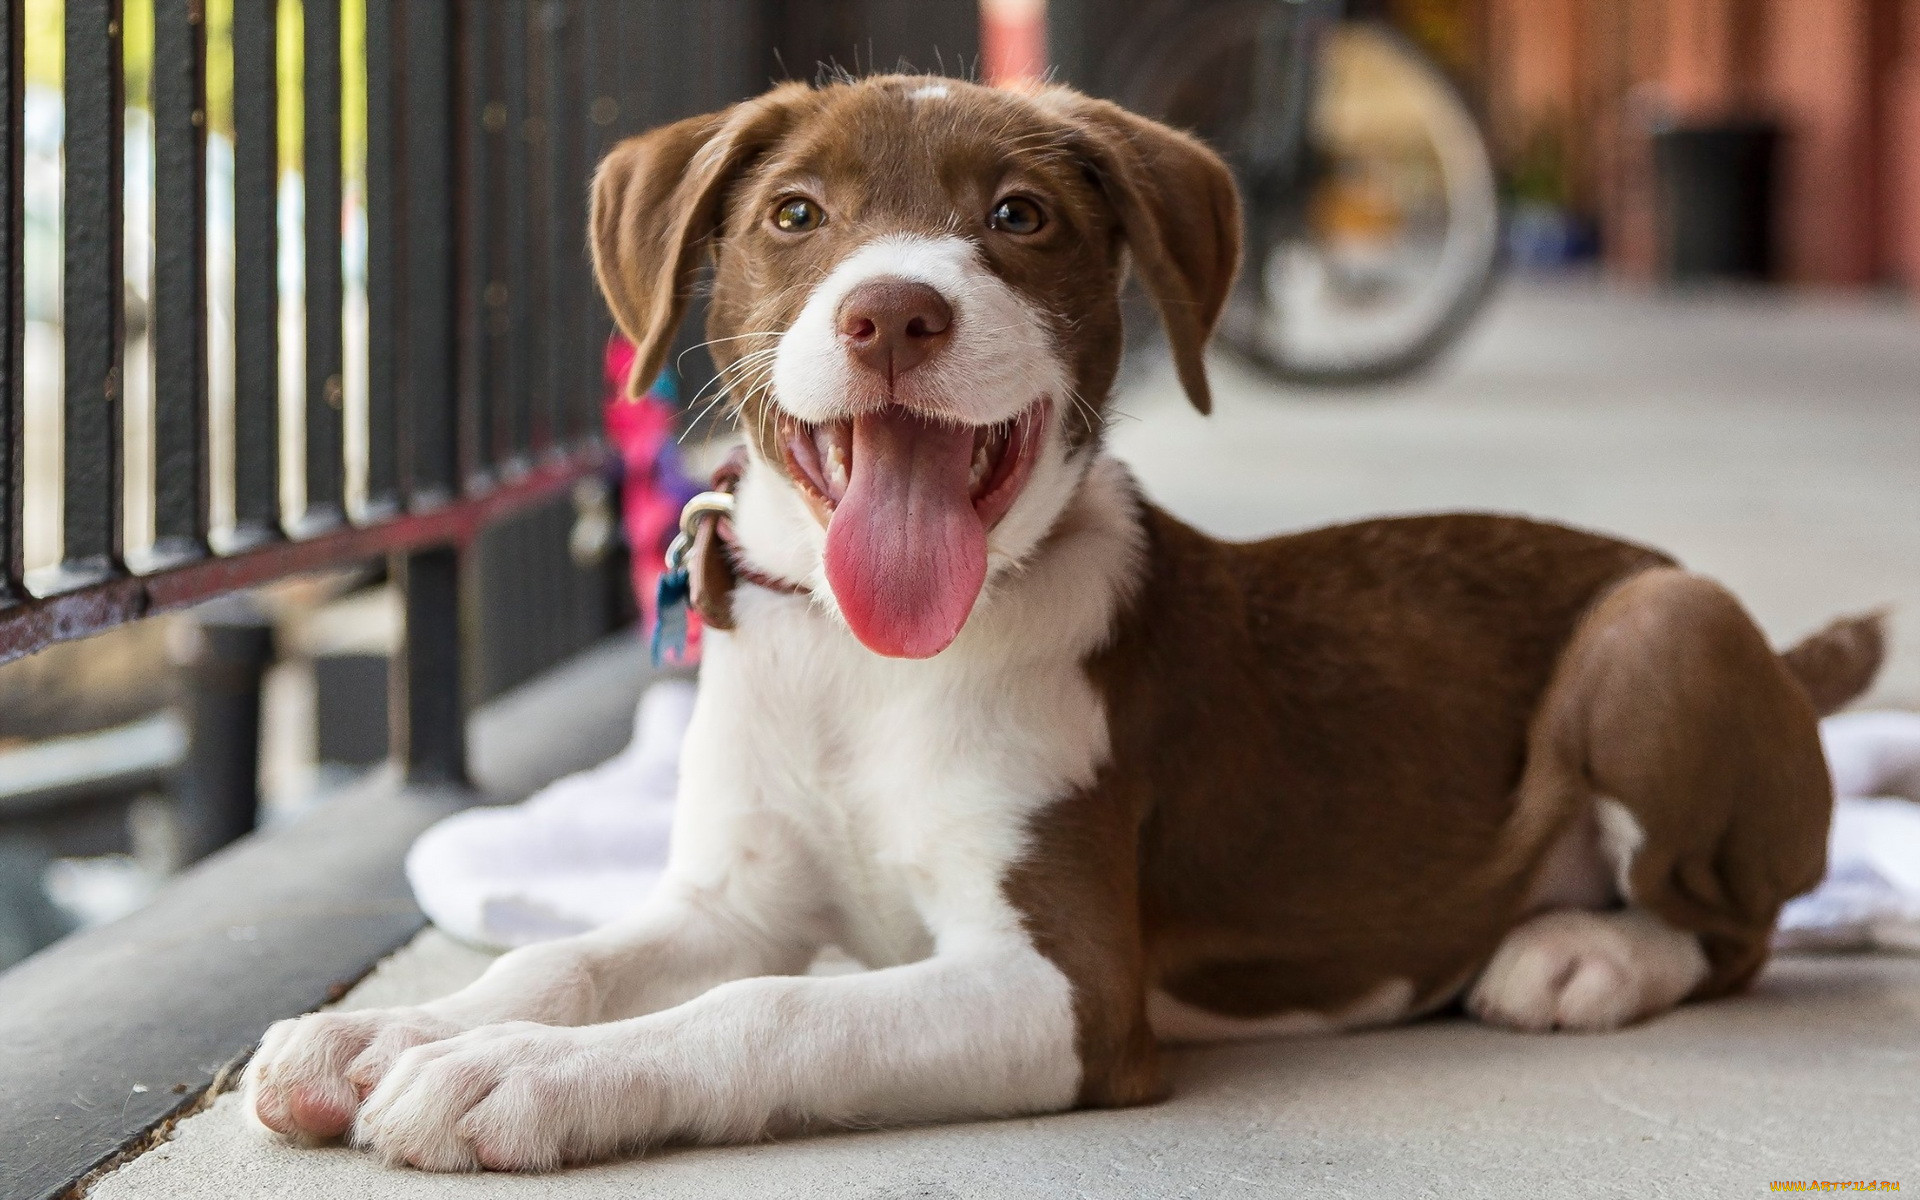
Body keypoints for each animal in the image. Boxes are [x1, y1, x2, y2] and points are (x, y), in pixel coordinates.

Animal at [247, 74, 1881, 1167]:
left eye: (1017, 217)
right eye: (795, 215)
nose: (893, 313)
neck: (865, 667)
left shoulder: (1069, 993)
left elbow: (769, 1014)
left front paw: (512, 1080)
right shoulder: (732, 899)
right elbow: (570, 959)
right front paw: (389, 1034)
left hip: (1660, 630)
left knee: (1737, 928)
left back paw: (1580, 959)